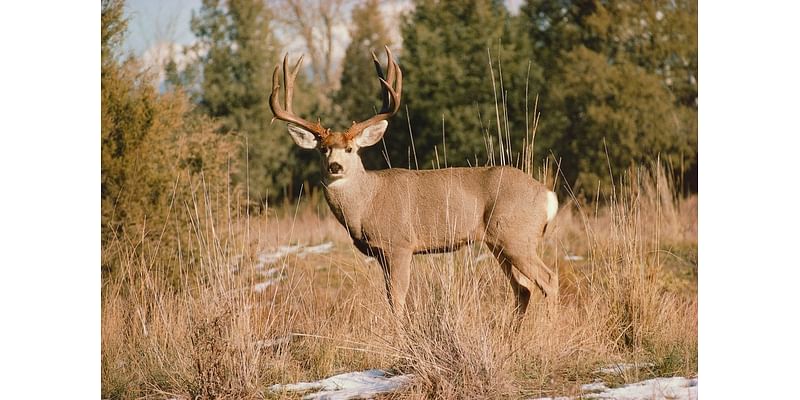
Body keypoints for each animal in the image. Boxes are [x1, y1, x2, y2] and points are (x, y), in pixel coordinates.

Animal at [268, 47, 556, 320]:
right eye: (323, 149)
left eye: (350, 149)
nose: (335, 166)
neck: (366, 203)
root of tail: (547, 196)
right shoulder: (382, 255)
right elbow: (389, 297)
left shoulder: (400, 244)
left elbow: (397, 299)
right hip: (499, 243)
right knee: (523, 289)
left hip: (516, 236)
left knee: (548, 280)